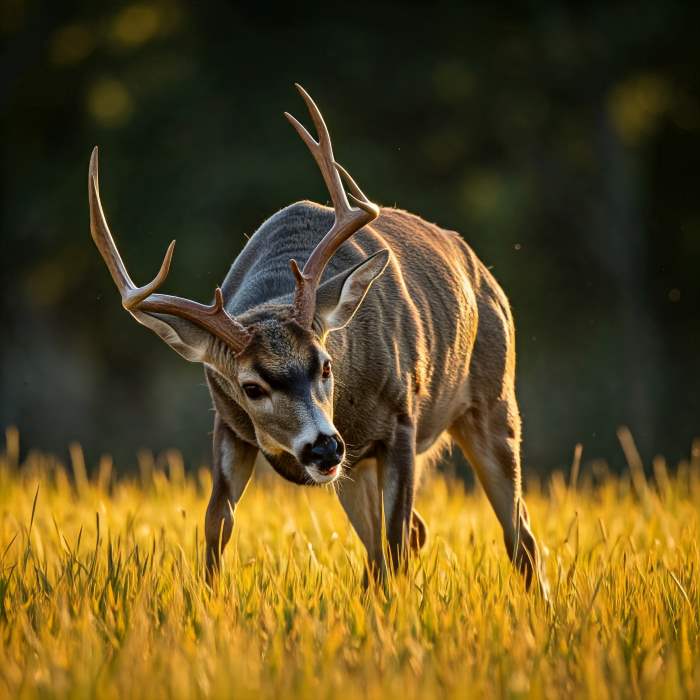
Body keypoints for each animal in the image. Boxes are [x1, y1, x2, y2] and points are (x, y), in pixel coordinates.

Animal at [86, 85, 548, 592]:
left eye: (325, 364)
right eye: (251, 388)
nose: (323, 446)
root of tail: (484, 273)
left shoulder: (402, 420)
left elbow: (395, 538)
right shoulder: (230, 425)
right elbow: (216, 524)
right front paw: (208, 596)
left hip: (492, 402)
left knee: (517, 533)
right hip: (356, 465)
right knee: (406, 536)